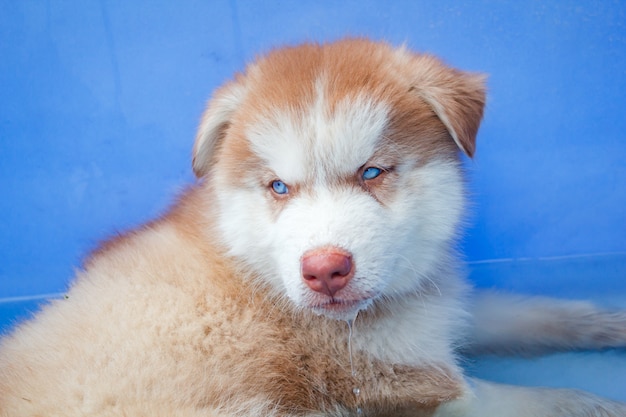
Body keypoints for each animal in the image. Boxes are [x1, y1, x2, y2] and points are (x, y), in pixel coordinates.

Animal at [1, 39, 624, 416]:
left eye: (372, 172)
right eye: (279, 187)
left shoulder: (434, 310)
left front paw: (609, 322)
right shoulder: (405, 385)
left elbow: (539, 313)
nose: (325, 271)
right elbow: (538, 399)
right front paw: (593, 401)